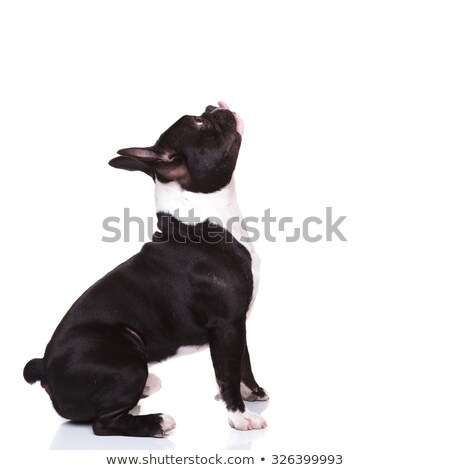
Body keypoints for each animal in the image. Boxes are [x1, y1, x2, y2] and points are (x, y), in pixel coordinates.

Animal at [23, 102, 268, 436]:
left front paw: (252, 392)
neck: (202, 220)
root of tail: (45, 370)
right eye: (199, 123)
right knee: (102, 423)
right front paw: (239, 416)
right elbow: (227, 371)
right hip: (126, 361)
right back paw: (155, 421)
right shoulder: (227, 324)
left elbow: (242, 361)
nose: (213, 106)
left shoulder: (237, 324)